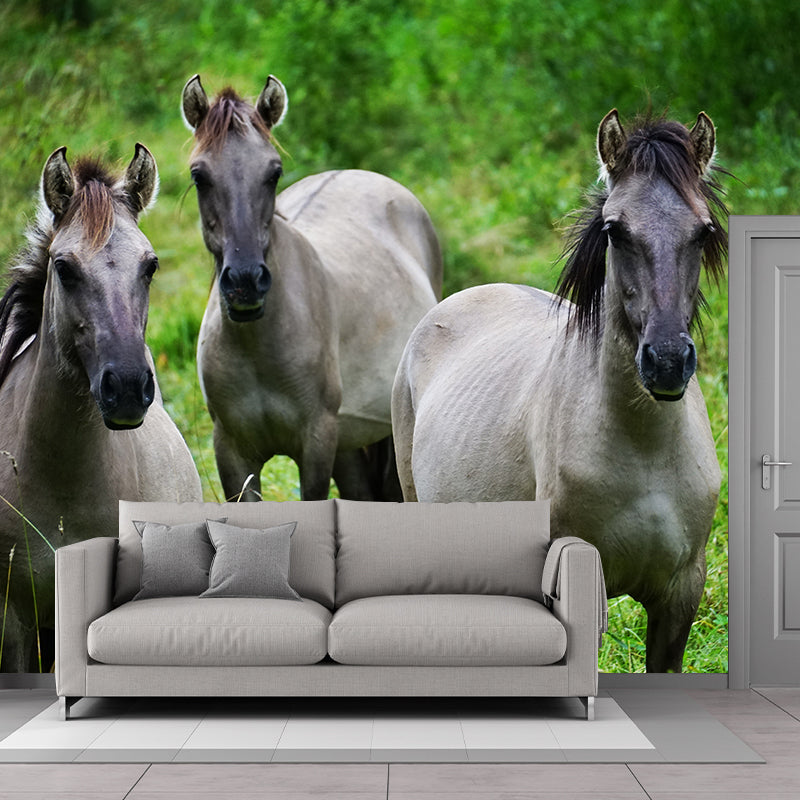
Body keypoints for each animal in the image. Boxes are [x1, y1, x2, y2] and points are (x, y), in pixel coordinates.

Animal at [181, 75, 442, 502]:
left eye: (273, 172)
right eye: (199, 176)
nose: (245, 282)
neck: (258, 347)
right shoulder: (232, 452)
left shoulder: (317, 442)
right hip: (349, 443)